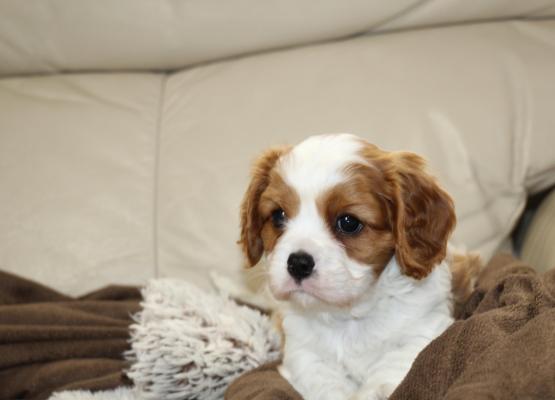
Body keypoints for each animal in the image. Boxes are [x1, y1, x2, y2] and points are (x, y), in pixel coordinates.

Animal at [241, 134, 480, 400]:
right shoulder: (303, 352)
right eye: (278, 216)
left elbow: (388, 373)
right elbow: (325, 383)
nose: (298, 263)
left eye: (348, 222)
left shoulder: (422, 331)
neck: (350, 315)